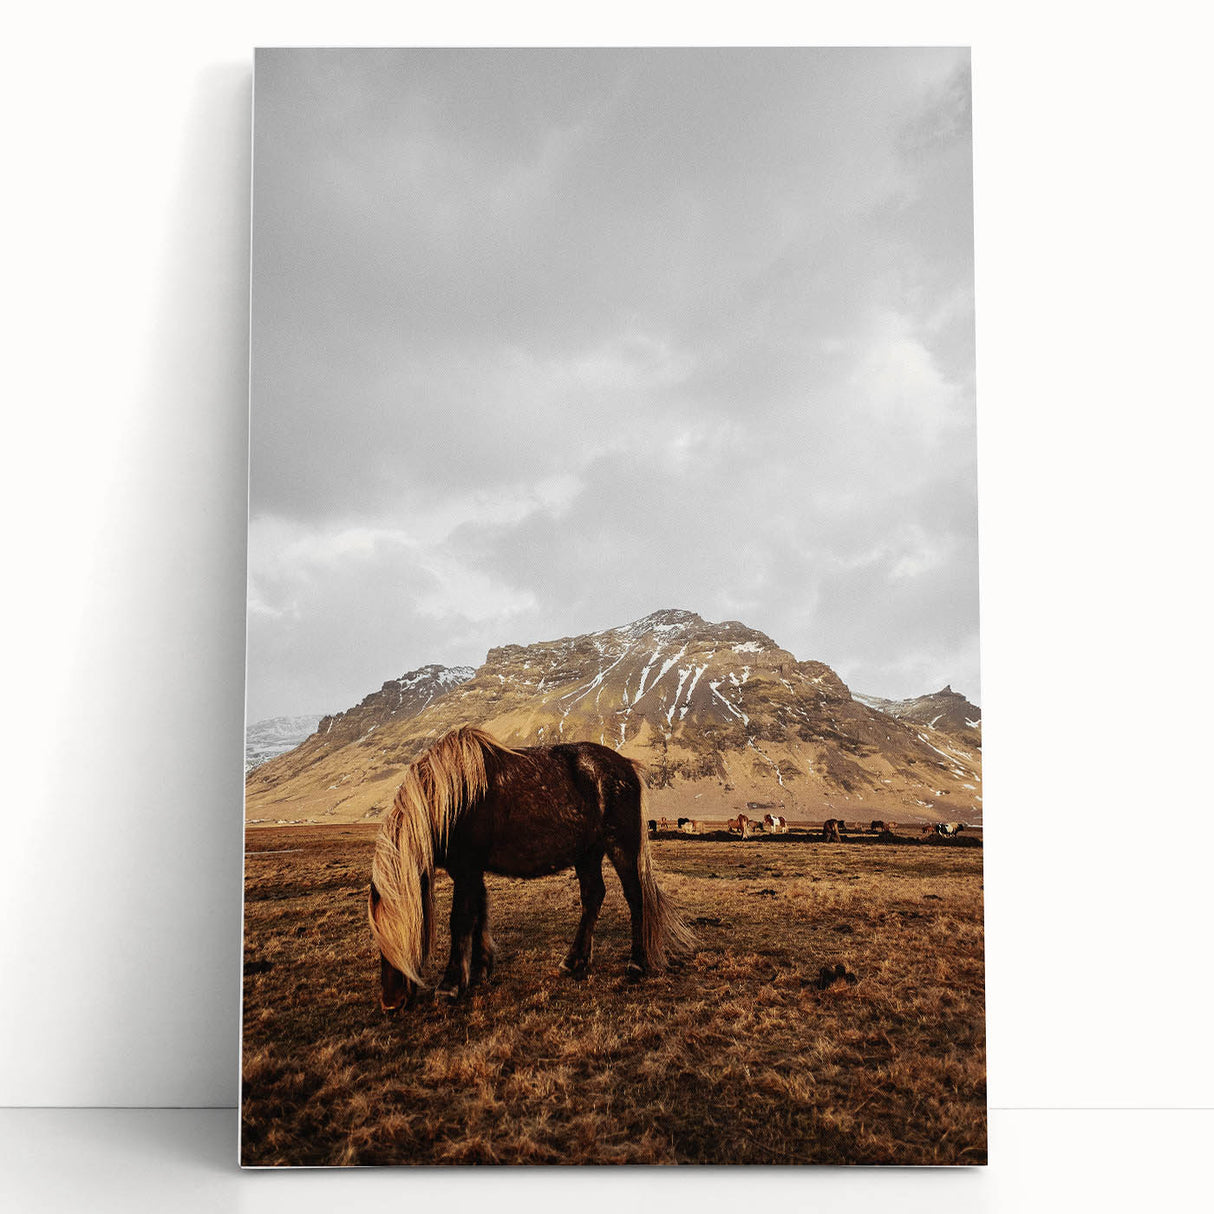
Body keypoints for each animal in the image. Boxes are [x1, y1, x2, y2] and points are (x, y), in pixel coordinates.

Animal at [367, 726, 697, 1010]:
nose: (391, 1003)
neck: (453, 798)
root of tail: (626, 767)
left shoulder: (467, 869)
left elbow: (460, 919)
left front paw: (449, 986)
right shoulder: (473, 871)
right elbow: (479, 914)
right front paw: (479, 970)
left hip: (621, 847)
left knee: (635, 898)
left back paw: (636, 964)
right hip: (588, 854)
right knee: (593, 896)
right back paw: (573, 962)